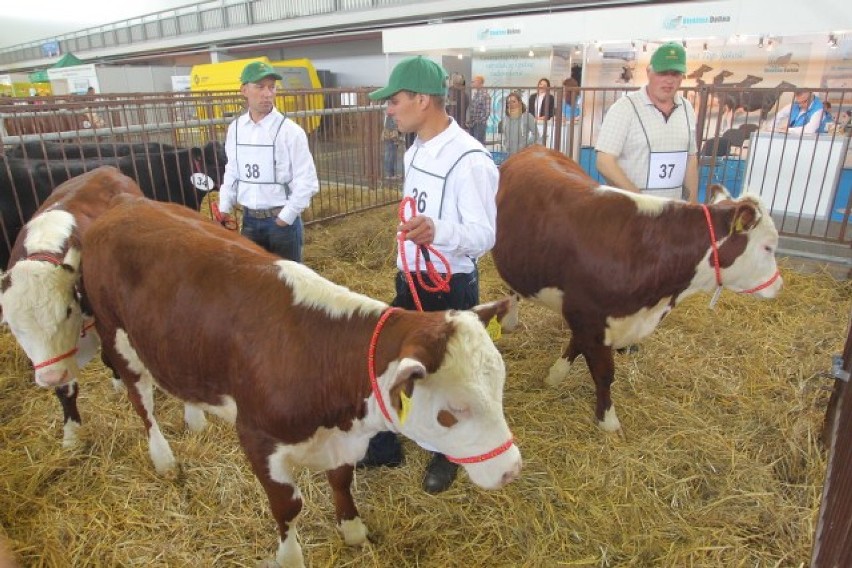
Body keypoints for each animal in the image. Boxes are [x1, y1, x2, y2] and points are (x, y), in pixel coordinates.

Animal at [81, 196, 520, 568]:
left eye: (499, 388)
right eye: (452, 411)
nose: (512, 470)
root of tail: (124, 204)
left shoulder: (342, 440)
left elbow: (342, 481)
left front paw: (353, 531)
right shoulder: (256, 437)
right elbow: (288, 507)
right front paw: (290, 557)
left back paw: (195, 418)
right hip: (114, 333)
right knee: (142, 401)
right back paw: (164, 458)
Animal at [492, 146, 784, 434]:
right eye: (768, 247)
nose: (779, 285)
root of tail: (534, 149)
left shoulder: (588, 317)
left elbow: (575, 346)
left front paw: (555, 375)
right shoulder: (588, 315)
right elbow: (603, 372)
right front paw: (608, 421)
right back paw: (509, 319)